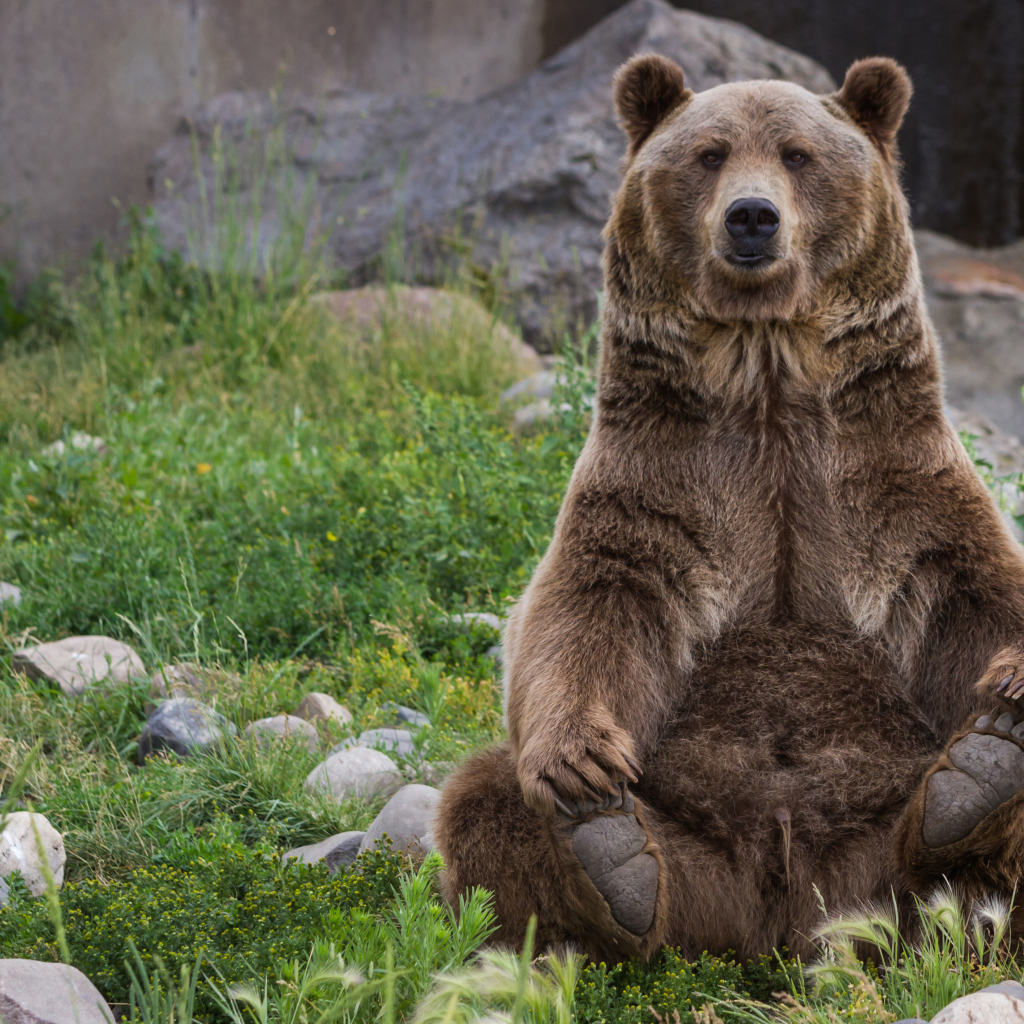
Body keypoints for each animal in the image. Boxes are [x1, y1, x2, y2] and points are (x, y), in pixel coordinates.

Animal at [435, 52, 1024, 963]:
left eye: (798, 154)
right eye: (709, 154)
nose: (753, 217)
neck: (768, 377)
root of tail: (785, 916)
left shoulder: (896, 484)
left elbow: (979, 594)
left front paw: (1011, 697)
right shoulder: (659, 487)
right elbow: (585, 611)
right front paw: (578, 767)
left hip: (877, 843)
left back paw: (977, 777)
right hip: (696, 853)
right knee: (485, 798)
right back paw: (612, 862)